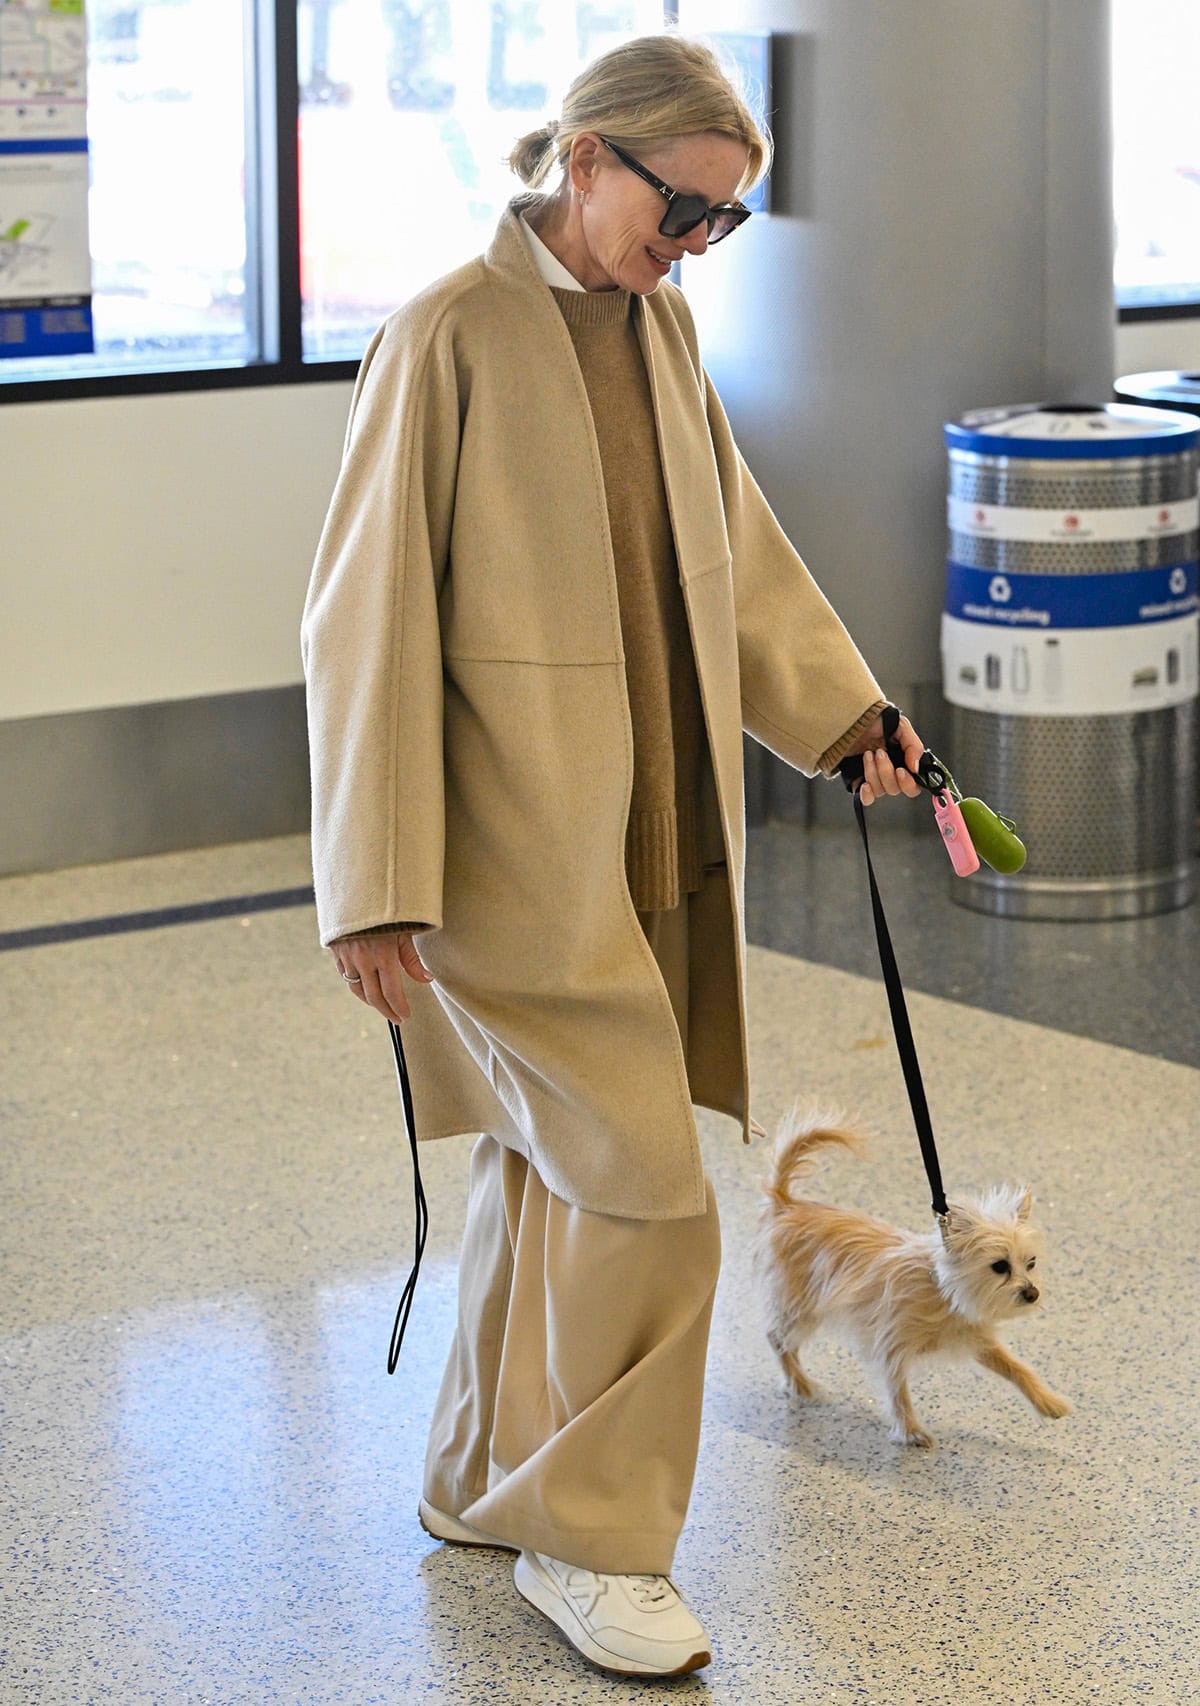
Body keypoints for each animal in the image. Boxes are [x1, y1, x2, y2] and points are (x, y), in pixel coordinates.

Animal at [754, 1112, 1071, 1446]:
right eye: (1000, 1266)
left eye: (1030, 1263)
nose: (1033, 1293)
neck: (944, 1293)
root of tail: (787, 1204)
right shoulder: (891, 1346)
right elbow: (897, 1390)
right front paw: (909, 1431)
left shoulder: (979, 1340)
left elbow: (1017, 1368)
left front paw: (1048, 1402)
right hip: (800, 1309)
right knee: (777, 1338)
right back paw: (798, 1382)